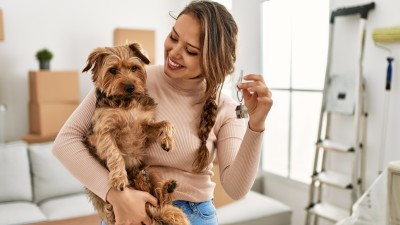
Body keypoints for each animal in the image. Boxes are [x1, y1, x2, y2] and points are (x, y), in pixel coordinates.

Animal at [82, 42, 190, 225]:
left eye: (134, 68)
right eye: (112, 70)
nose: (130, 87)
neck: (127, 102)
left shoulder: (145, 126)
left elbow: (166, 123)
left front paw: (167, 140)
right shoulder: (102, 132)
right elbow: (114, 153)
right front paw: (119, 178)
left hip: (152, 170)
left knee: (157, 199)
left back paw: (163, 187)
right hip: (104, 200)